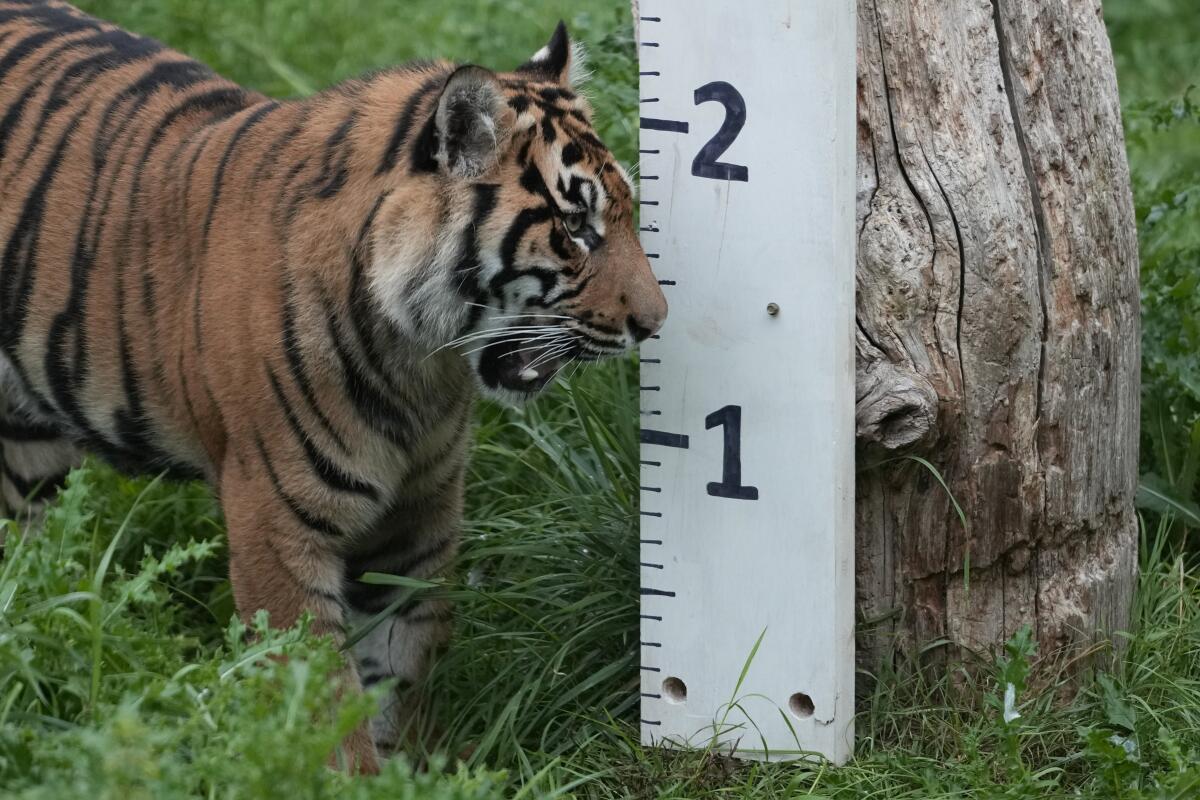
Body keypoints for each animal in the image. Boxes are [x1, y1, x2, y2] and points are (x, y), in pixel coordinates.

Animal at [0, 0, 667, 777]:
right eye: (574, 227)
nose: (656, 322)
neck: (417, 364)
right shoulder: (276, 526)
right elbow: (320, 694)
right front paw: (347, 777)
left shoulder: (418, 520)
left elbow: (405, 666)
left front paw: (413, 773)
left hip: (28, 449)